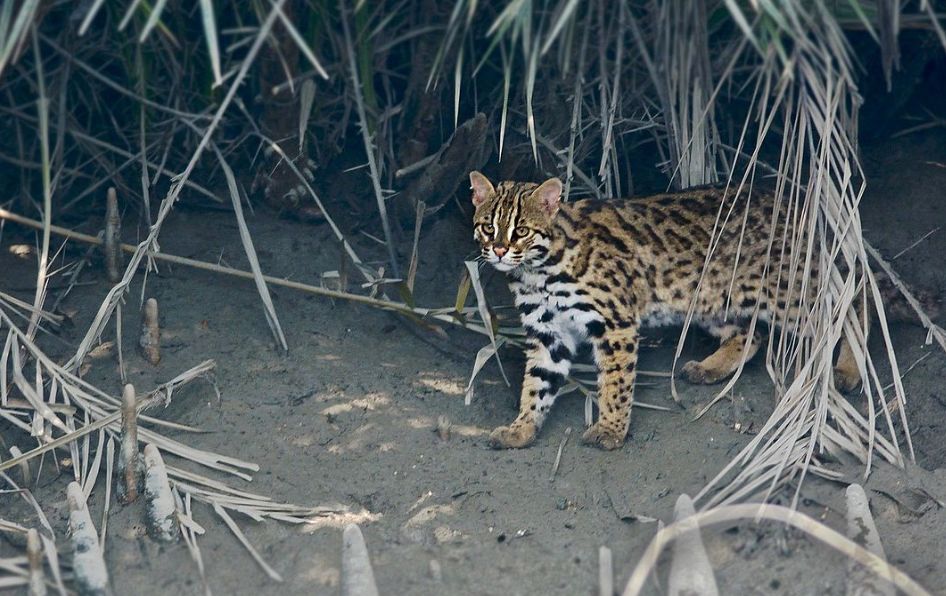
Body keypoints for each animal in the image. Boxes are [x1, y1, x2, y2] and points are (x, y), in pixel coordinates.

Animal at [468, 170, 868, 450]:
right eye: (488, 227)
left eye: (521, 231)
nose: (499, 250)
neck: (536, 271)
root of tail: (793, 201)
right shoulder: (547, 331)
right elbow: (536, 384)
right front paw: (522, 428)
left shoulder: (615, 322)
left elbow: (615, 382)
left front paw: (611, 429)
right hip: (712, 298)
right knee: (750, 333)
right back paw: (711, 367)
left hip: (789, 294)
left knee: (851, 302)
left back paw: (849, 368)